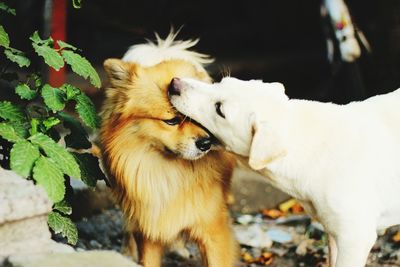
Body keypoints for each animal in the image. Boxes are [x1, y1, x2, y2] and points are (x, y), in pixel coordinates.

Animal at [99, 35, 238, 267]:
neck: (169, 173)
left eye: (200, 119)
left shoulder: (213, 233)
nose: (206, 143)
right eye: (172, 121)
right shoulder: (148, 230)